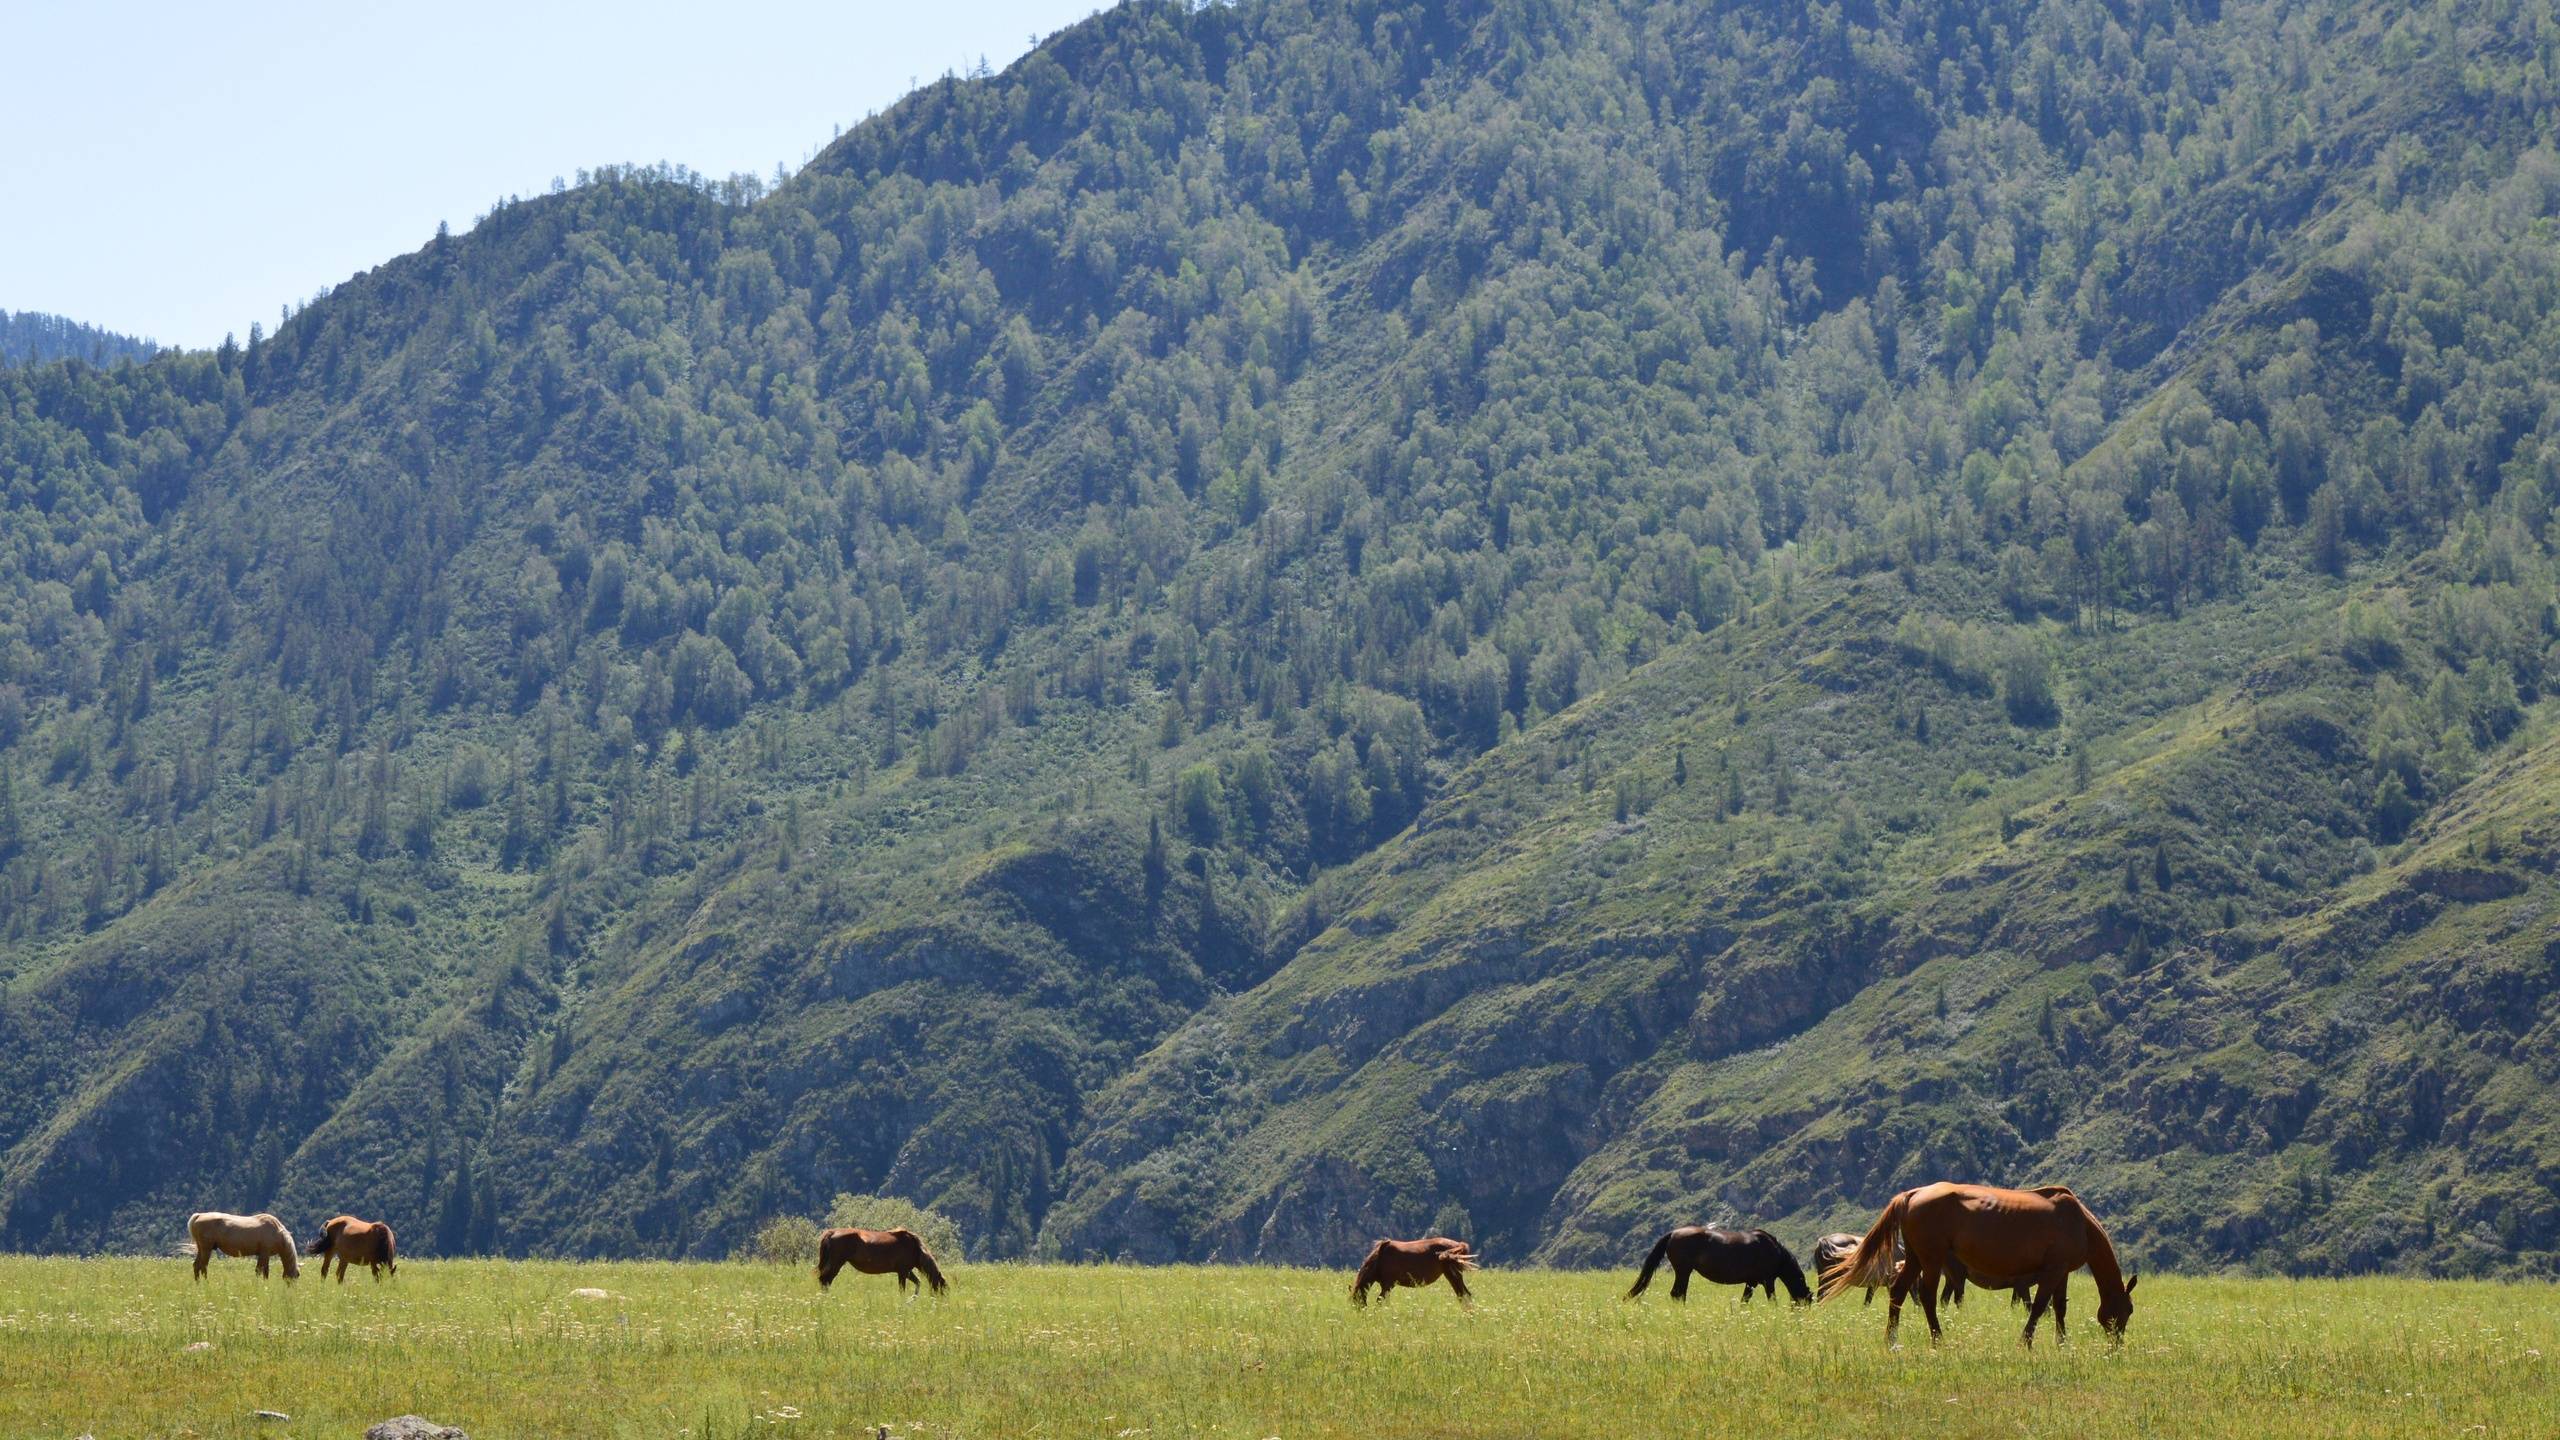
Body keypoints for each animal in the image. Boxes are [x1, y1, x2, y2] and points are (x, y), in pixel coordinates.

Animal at [814, 1219, 947, 1291]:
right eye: (943, 1288)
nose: (940, 1304)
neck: (915, 1247)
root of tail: (832, 1232)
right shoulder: (903, 1272)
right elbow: (902, 1290)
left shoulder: (907, 1271)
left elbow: (918, 1283)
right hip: (836, 1264)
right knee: (825, 1280)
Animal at [1628, 1219, 1812, 1301]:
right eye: (1807, 1302)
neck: (1775, 1251)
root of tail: (1673, 1233)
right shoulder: (1768, 1281)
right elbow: (1772, 1300)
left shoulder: (1750, 1282)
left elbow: (1744, 1301)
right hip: (1683, 1272)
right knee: (1677, 1294)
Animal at [1822, 1178, 2140, 1342]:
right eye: (2127, 1310)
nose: (2117, 1343)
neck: (2078, 1222)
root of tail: (1912, 1194)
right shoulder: (2051, 1272)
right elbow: (2039, 1307)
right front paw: (2026, 1341)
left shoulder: (2061, 1272)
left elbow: (2059, 1309)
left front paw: (2062, 1344)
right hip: (1931, 1259)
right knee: (1927, 1296)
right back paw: (1938, 1338)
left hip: (1914, 1258)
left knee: (1899, 1292)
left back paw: (1892, 1341)